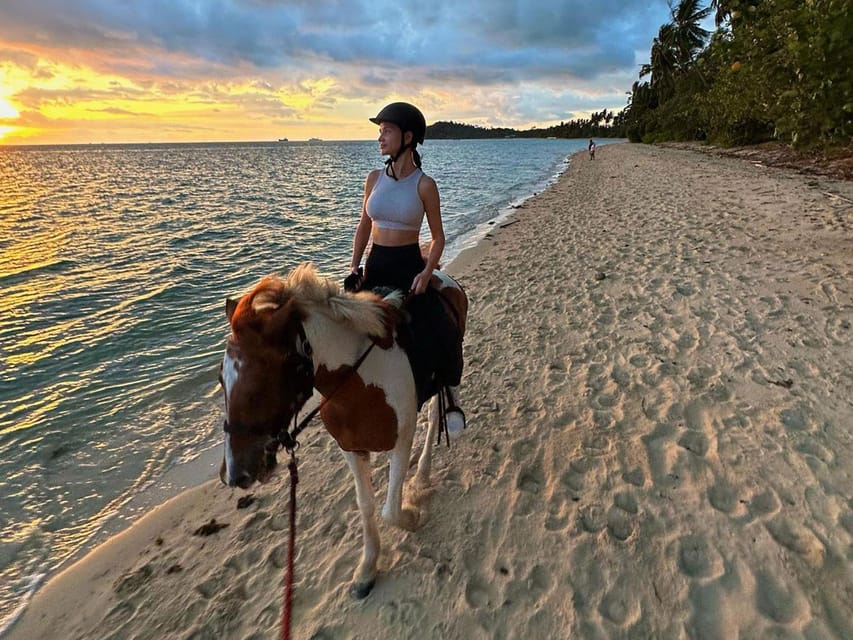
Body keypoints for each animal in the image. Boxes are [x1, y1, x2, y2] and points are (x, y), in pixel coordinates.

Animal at [216, 262, 462, 596]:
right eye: (220, 379)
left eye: (259, 385)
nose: (234, 474)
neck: (358, 381)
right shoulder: (350, 448)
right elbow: (365, 505)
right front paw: (367, 568)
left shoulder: (401, 440)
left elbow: (390, 510)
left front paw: (412, 515)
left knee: (437, 412)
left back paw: (423, 472)